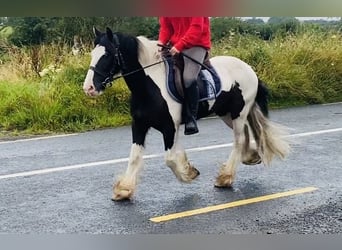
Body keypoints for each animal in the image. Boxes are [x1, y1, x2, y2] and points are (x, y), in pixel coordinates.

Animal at [83, 27, 288, 201]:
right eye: (93, 54)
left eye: (107, 55)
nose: (89, 88)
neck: (149, 87)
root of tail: (249, 69)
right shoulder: (139, 125)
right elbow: (134, 157)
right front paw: (124, 190)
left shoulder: (169, 128)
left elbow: (170, 158)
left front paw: (189, 173)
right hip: (228, 114)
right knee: (245, 134)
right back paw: (249, 157)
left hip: (238, 113)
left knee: (238, 140)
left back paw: (225, 178)